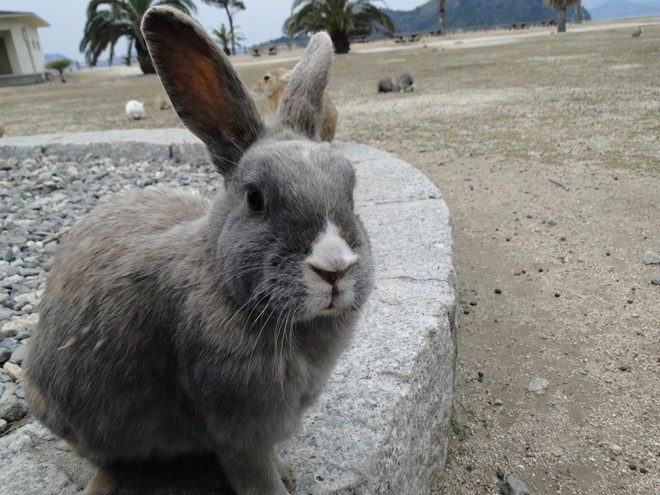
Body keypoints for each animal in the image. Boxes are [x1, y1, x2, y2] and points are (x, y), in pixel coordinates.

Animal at [23, 4, 374, 495]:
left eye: (351, 192)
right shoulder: (240, 428)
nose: (334, 269)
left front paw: (288, 472)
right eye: (255, 199)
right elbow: (255, 475)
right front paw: (279, 484)